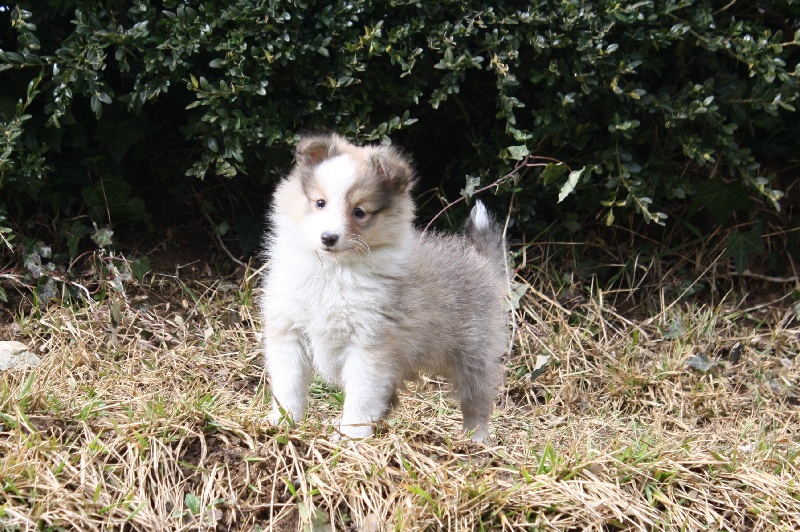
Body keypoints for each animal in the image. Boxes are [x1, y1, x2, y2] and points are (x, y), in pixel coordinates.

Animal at [260, 133, 506, 440]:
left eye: (359, 212)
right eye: (320, 203)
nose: (328, 238)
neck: (334, 270)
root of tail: (481, 261)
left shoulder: (370, 343)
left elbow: (361, 392)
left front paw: (350, 434)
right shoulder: (289, 331)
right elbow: (289, 384)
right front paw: (283, 421)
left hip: (473, 353)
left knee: (477, 399)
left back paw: (476, 439)